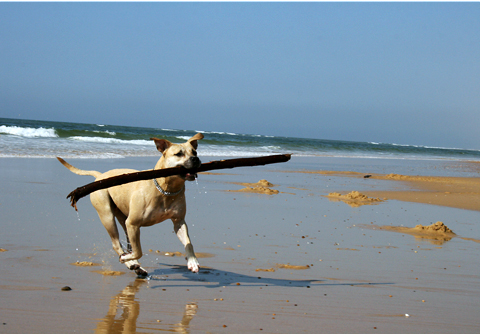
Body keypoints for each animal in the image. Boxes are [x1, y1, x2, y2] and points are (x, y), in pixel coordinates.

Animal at [57, 133, 203, 276]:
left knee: (127, 243)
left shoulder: (179, 221)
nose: (196, 159)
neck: (166, 189)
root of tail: (100, 176)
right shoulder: (133, 223)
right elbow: (138, 250)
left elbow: (188, 243)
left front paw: (192, 261)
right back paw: (130, 262)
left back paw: (136, 265)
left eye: (195, 152)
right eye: (178, 154)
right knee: (117, 244)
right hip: (107, 215)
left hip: (122, 217)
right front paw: (128, 259)